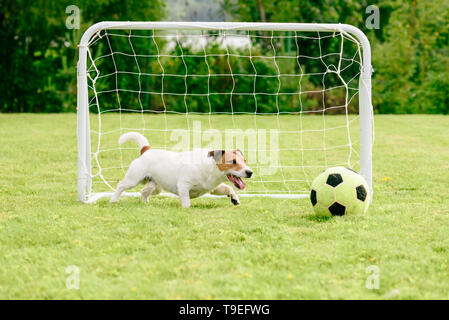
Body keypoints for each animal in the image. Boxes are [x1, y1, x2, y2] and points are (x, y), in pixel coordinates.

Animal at [109, 132, 252, 209]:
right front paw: (186, 208)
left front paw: (234, 198)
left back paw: (146, 204)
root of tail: (147, 150)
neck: (210, 168)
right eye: (233, 162)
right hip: (133, 179)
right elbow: (186, 201)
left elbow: (229, 189)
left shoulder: (213, 188)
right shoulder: (184, 186)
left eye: (244, 160)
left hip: (155, 186)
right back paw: (114, 200)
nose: (250, 172)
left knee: (143, 192)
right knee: (120, 186)